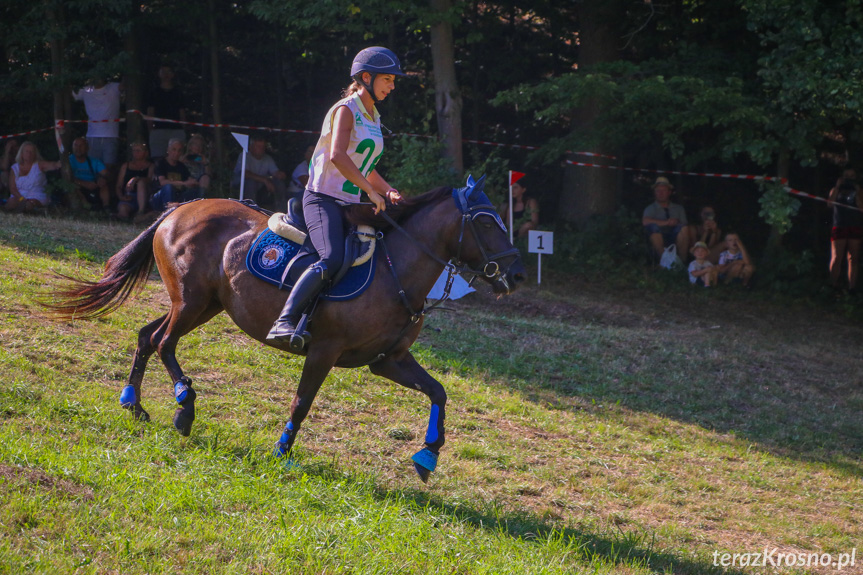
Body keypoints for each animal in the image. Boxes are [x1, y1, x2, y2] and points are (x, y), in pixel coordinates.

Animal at [49, 180, 528, 482]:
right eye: (487, 221)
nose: (516, 274)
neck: (397, 272)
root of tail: (181, 207)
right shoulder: (324, 351)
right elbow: (302, 402)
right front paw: (282, 451)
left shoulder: (388, 361)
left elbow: (438, 392)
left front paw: (428, 456)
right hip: (191, 302)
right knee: (165, 342)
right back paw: (184, 405)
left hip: (204, 305)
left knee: (148, 336)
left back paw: (133, 402)